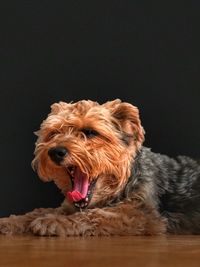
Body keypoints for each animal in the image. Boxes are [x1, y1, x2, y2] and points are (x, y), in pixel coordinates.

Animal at [0, 100, 200, 237]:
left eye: (90, 132)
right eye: (54, 133)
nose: (55, 151)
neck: (123, 182)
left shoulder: (142, 215)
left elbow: (95, 215)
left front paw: (53, 221)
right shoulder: (69, 205)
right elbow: (39, 210)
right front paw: (14, 221)